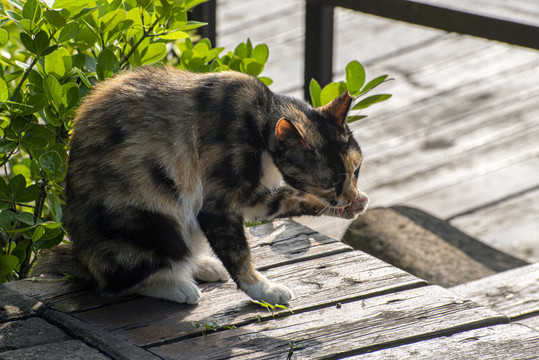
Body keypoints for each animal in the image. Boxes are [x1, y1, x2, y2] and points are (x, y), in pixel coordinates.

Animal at [53, 67, 372, 304]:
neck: (260, 119)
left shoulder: (253, 199)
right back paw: (178, 286)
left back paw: (203, 265)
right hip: (150, 222)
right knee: (120, 281)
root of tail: (81, 258)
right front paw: (263, 289)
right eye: (331, 183)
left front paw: (355, 205)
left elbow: (287, 199)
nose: (350, 196)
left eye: (356, 170)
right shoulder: (218, 203)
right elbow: (239, 253)